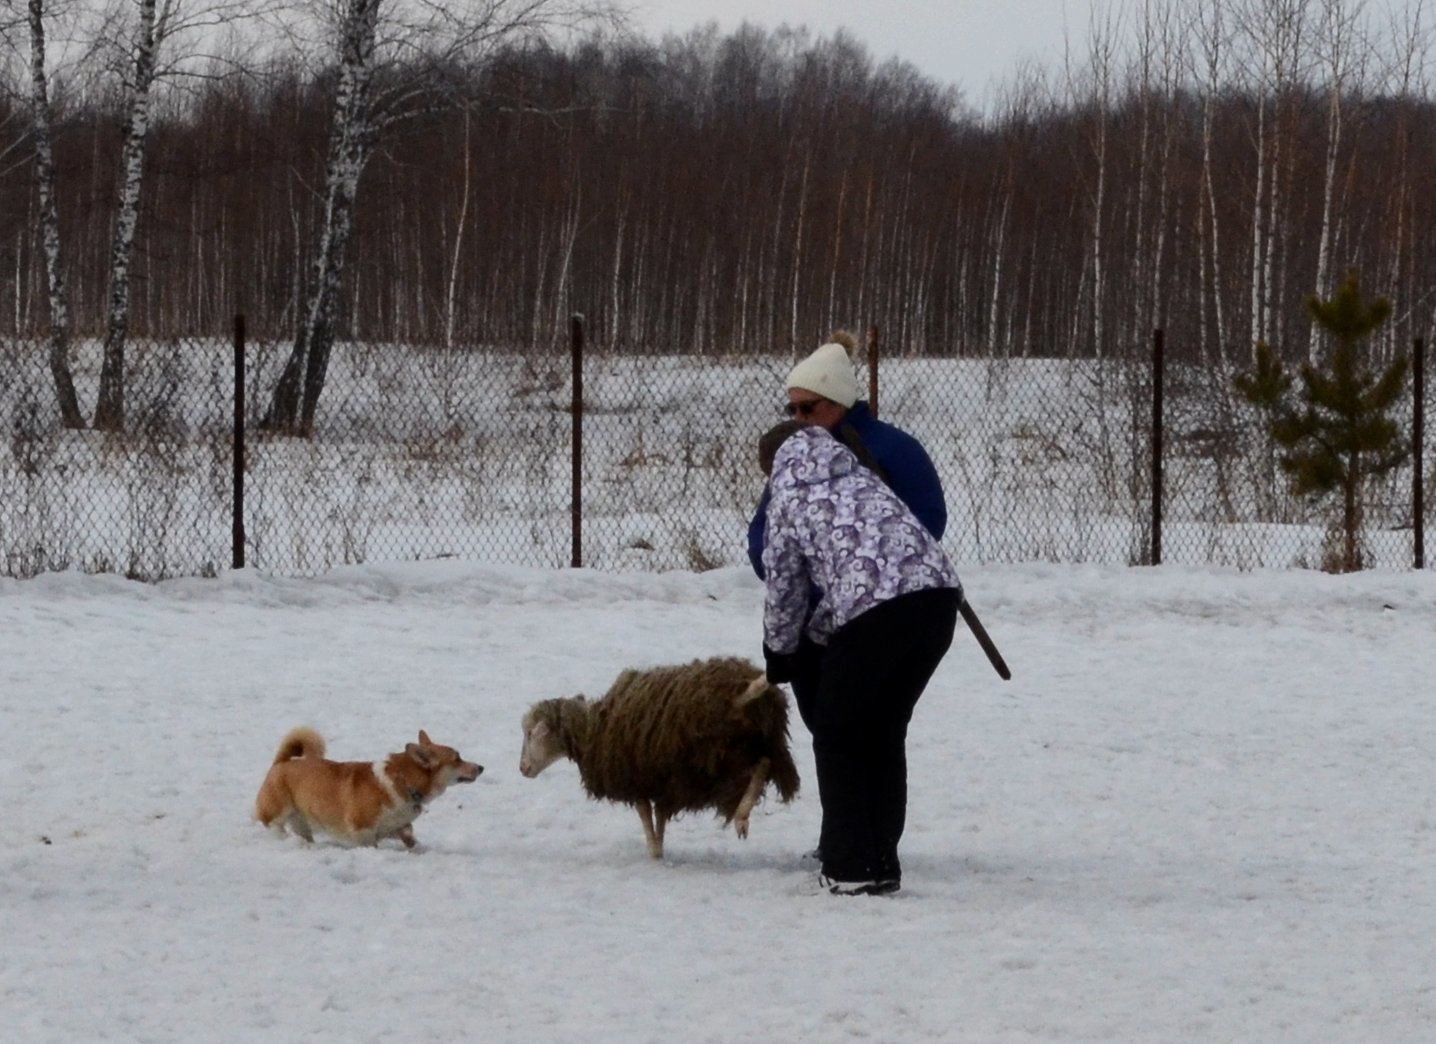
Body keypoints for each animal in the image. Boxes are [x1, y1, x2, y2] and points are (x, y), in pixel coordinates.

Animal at [257, 726, 482, 850]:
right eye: (457, 758)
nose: (481, 767)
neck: (404, 781)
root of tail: (282, 762)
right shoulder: (362, 830)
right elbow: (370, 844)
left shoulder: (398, 827)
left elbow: (410, 837)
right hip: (277, 812)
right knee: (274, 826)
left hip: (302, 821)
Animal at [519, 657, 809, 861]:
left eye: (531, 733)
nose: (522, 768)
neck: (591, 729)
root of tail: (742, 692)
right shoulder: (661, 784)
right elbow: (659, 819)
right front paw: (661, 849)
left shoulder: (636, 782)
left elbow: (647, 819)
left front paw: (655, 854)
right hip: (759, 744)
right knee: (767, 763)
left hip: (720, 754)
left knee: (761, 767)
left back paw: (741, 816)